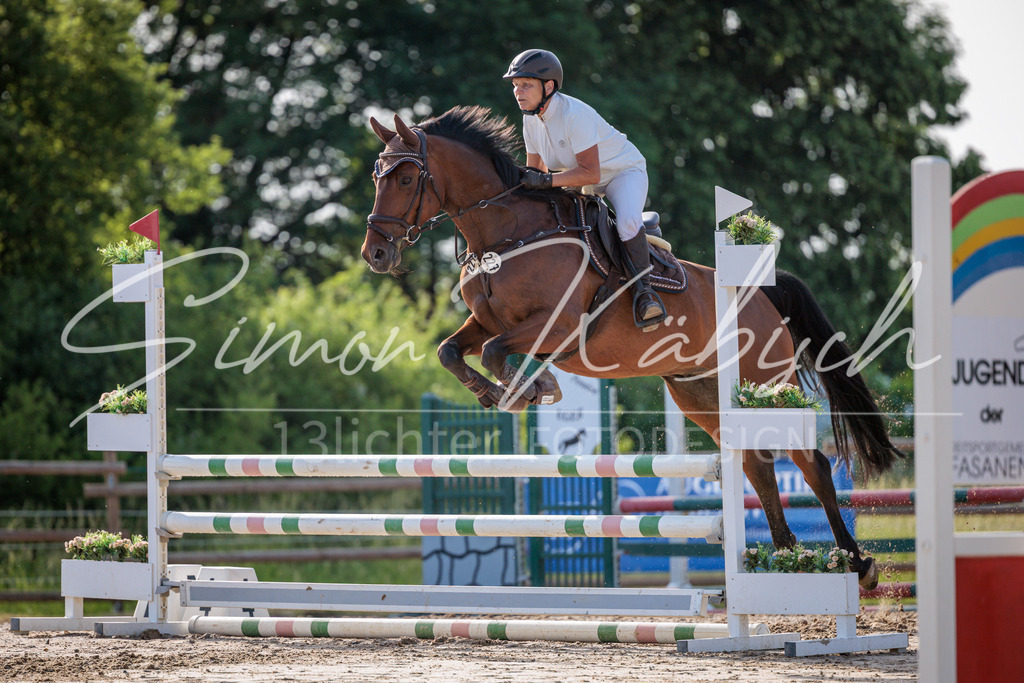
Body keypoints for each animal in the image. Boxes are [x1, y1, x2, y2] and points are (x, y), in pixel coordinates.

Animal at [361, 104, 903, 589]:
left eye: (406, 180)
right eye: (376, 177)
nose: (376, 254)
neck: (507, 235)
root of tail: (760, 293)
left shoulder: (559, 325)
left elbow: (496, 351)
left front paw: (532, 390)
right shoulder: (484, 321)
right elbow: (451, 352)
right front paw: (497, 393)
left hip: (765, 384)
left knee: (811, 465)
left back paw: (855, 564)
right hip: (701, 393)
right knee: (757, 466)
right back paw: (787, 557)